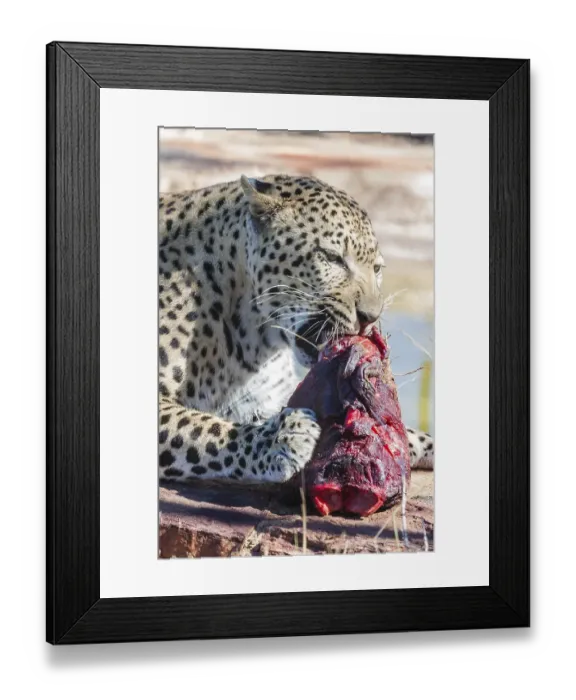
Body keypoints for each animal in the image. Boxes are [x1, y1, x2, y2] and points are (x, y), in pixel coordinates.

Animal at [158, 174, 434, 484]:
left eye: (377, 269)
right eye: (332, 257)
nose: (370, 316)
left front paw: (419, 441)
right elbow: (203, 427)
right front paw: (282, 438)